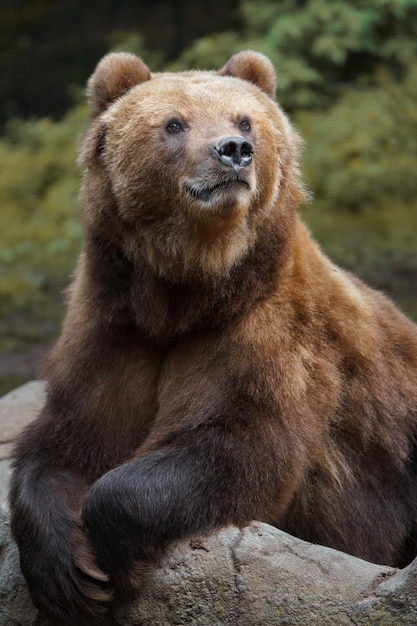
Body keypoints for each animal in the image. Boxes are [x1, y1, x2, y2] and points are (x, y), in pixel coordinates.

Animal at [8, 51, 417, 620]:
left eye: (244, 121)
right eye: (173, 124)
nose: (234, 152)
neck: (183, 294)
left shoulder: (265, 334)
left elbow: (240, 443)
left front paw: (113, 552)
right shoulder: (114, 330)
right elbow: (68, 439)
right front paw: (68, 574)